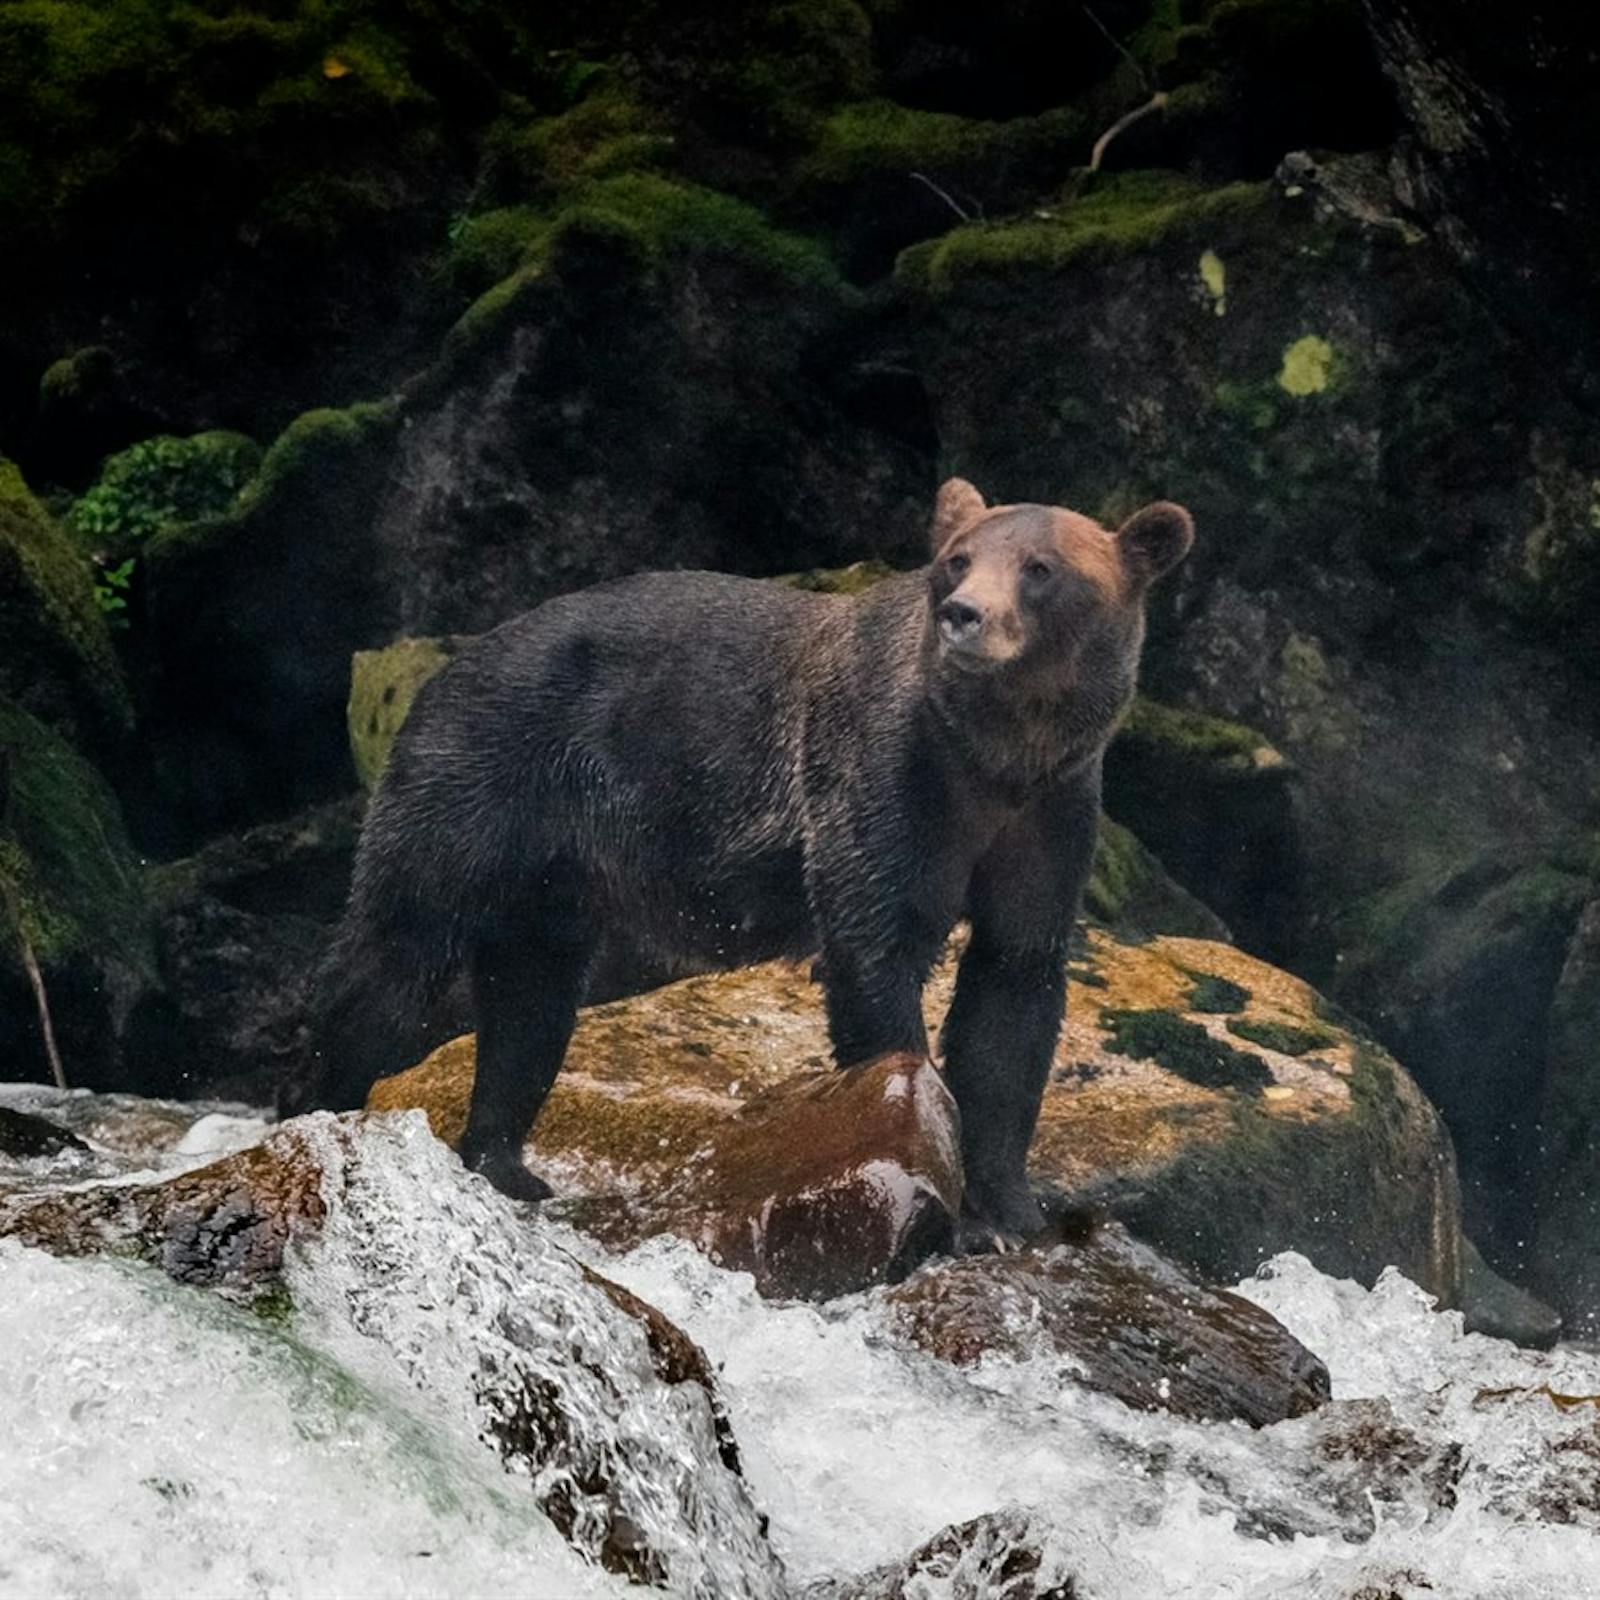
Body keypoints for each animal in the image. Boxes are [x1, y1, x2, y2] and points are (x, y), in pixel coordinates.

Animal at [308, 480, 1190, 1241]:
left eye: (1041, 568)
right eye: (958, 559)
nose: (965, 615)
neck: (993, 754)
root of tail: (436, 667)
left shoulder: (1050, 812)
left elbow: (1014, 984)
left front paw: (1010, 1209)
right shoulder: (887, 774)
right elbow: (879, 945)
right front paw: (934, 1168)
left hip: (552, 869)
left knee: (532, 1000)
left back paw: (504, 1162)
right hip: (479, 779)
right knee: (400, 945)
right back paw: (333, 1097)